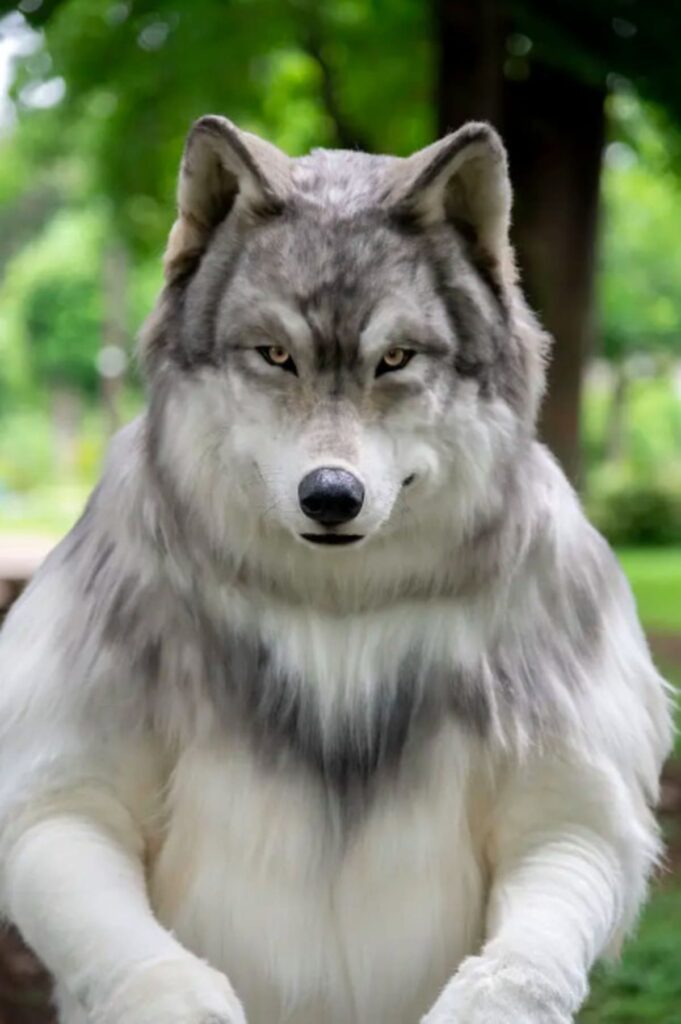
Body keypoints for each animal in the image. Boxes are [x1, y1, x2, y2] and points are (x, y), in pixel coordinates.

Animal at [0, 116, 672, 1024]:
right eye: (275, 354)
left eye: (396, 359)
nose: (330, 496)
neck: (337, 614)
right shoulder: (62, 801)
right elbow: (120, 919)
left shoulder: (571, 812)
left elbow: (525, 952)